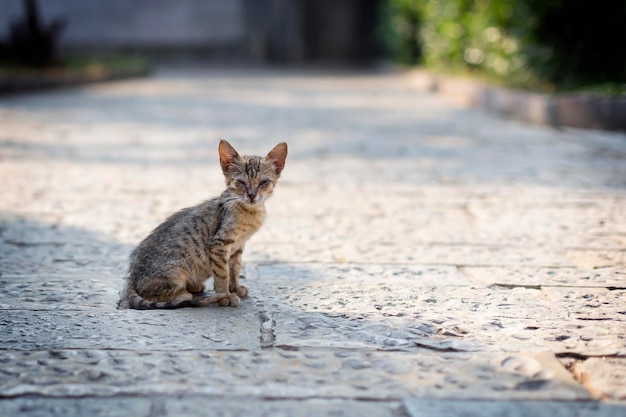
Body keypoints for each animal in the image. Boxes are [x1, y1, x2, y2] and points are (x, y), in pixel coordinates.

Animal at [116, 141, 286, 308]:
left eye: (264, 182)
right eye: (240, 182)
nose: (251, 195)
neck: (250, 212)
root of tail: (131, 276)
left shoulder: (237, 247)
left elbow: (235, 268)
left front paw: (235, 288)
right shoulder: (219, 244)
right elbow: (222, 274)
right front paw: (225, 296)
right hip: (177, 270)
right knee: (150, 292)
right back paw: (184, 294)